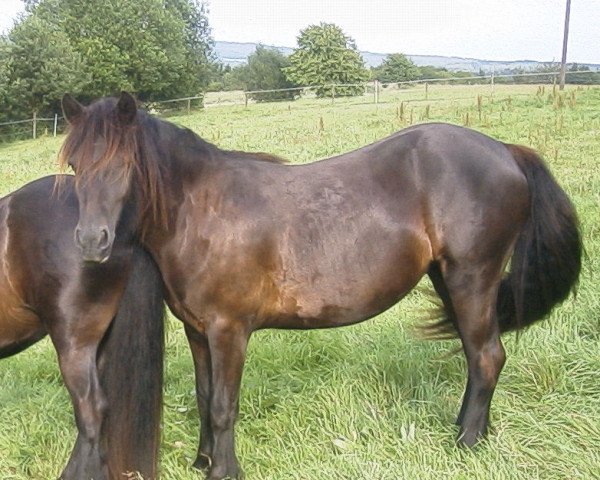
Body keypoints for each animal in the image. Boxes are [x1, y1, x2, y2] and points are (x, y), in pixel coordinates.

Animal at [61, 94, 580, 480]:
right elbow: (205, 396)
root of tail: (505, 150)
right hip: (450, 278)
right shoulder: (197, 329)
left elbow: (225, 405)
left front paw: (223, 470)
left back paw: (467, 443)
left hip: (473, 277)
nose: (90, 240)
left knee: (487, 355)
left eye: (123, 165)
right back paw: (470, 431)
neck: (202, 211)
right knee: (479, 357)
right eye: (75, 166)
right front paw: (202, 461)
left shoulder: (229, 330)